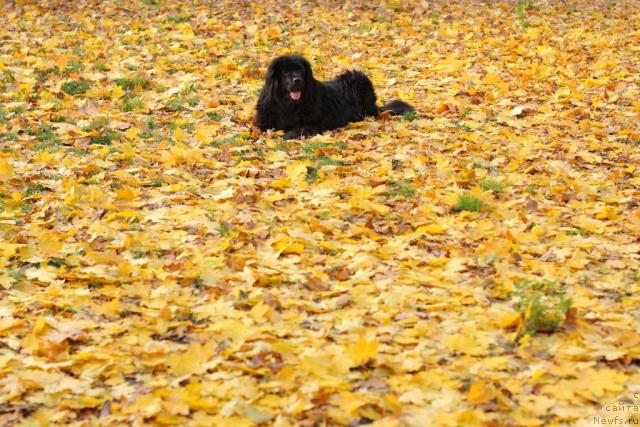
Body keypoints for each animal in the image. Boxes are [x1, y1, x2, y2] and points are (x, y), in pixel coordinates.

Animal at [255, 55, 416, 140]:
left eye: (300, 71)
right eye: (286, 72)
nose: (297, 80)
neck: (288, 105)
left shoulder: (314, 124)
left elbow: (297, 130)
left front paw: (286, 135)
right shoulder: (263, 120)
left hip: (359, 79)